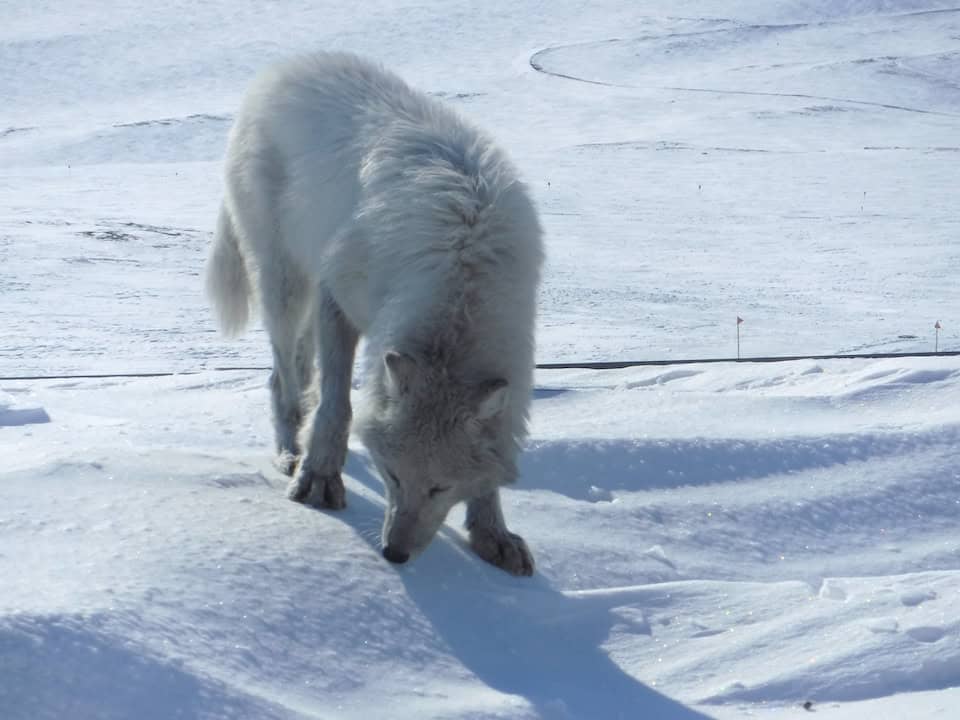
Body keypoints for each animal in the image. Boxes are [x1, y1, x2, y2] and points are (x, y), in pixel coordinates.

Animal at [205, 52, 543, 575]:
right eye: (393, 475)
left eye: (440, 487)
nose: (394, 553)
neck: (461, 273)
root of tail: (285, 68)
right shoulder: (336, 297)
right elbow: (336, 406)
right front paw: (319, 479)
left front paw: (493, 534)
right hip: (285, 286)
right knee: (283, 380)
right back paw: (289, 452)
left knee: (299, 370)